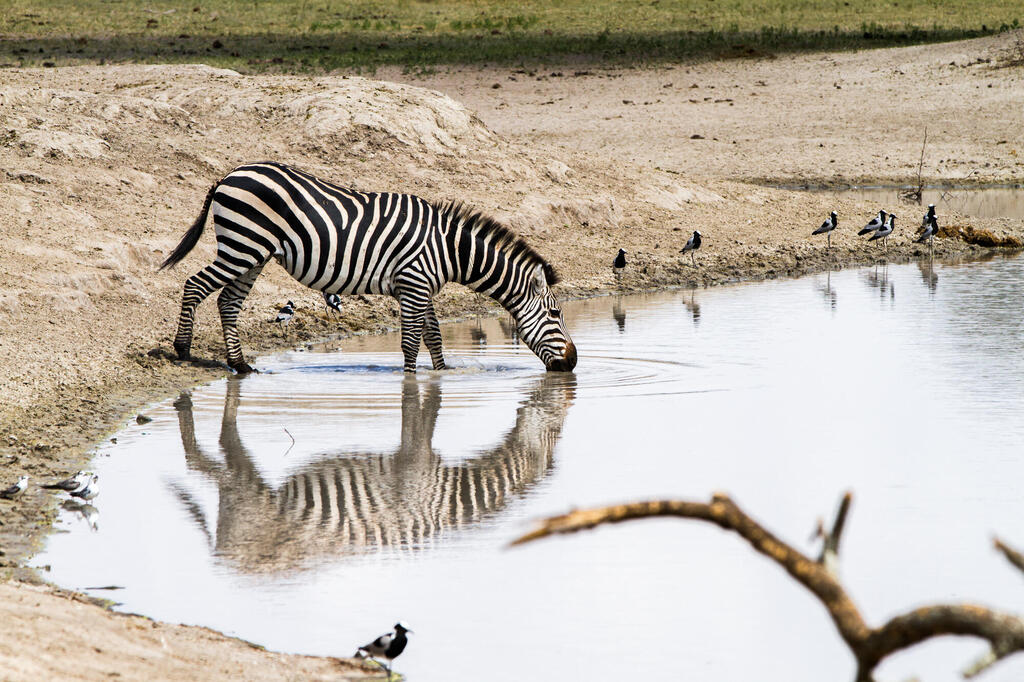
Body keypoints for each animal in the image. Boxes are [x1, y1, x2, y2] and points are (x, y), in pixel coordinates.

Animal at [160, 162, 577, 374]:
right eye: (556, 314)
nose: (573, 363)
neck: (448, 250)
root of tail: (229, 174)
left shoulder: (421, 287)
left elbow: (434, 338)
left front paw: (442, 376)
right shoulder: (413, 285)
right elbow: (411, 343)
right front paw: (410, 382)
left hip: (253, 253)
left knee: (228, 303)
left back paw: (241, 365)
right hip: (242, 245)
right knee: (195, 285)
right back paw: (182, 349)